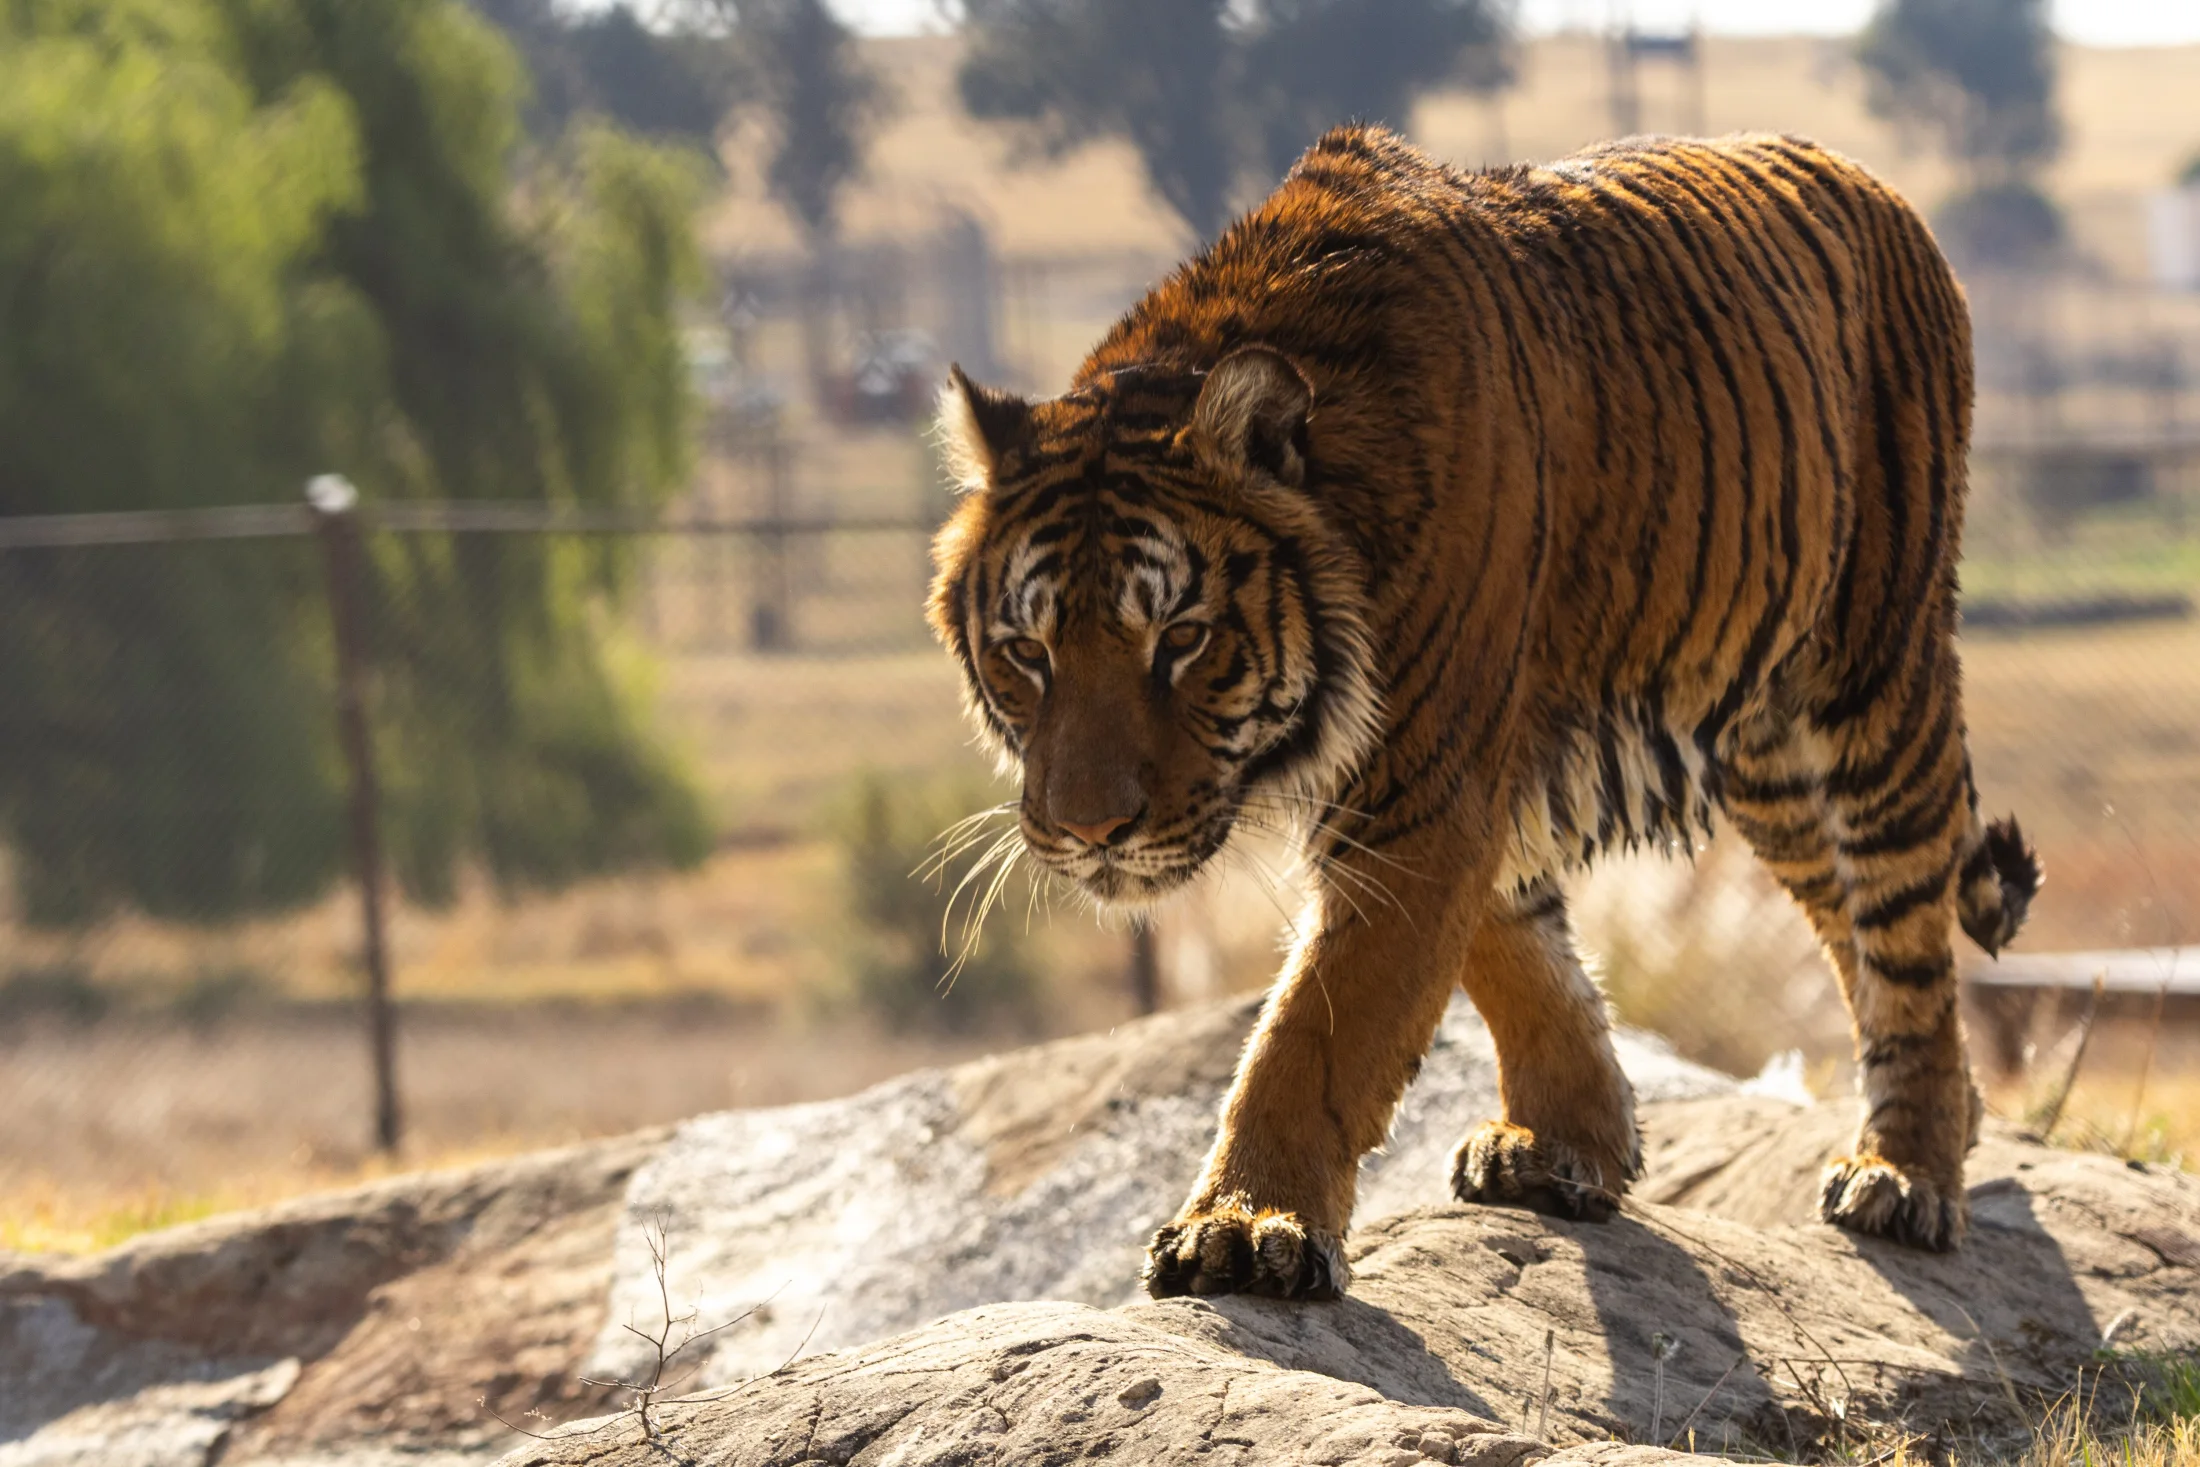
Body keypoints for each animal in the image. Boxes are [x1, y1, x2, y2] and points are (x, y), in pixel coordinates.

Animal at [925, 125, 2040, 1301]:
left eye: (1179, 638)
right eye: (1027, 653)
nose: (1091, 829)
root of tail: (1864, 175)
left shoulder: (1427, 783)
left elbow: (1317, 1031)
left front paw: (1243, 1224)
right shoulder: (1463, 781)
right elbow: (1514, 951)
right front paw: (1569, 1138)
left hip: (1874, 683)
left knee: (1906, 931)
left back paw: (1906, 1175)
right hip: (1768, 757)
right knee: (1852, 924)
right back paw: (1957, 1121)